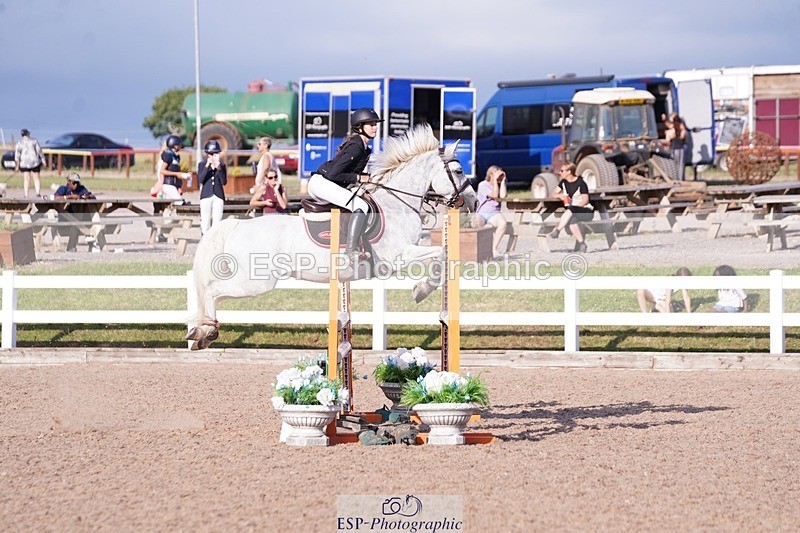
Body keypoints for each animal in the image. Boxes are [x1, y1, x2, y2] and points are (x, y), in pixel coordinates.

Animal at [186, 124, 478, 350]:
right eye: (459, 171)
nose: (473, 202)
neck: (397, 204)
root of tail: (236, 225)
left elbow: (442, 255)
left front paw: (422, 289)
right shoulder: (397, 257)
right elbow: (441, 254)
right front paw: (421, 291)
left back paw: (201, 332)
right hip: (255, 281)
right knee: (212, 290)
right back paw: (204, 332)